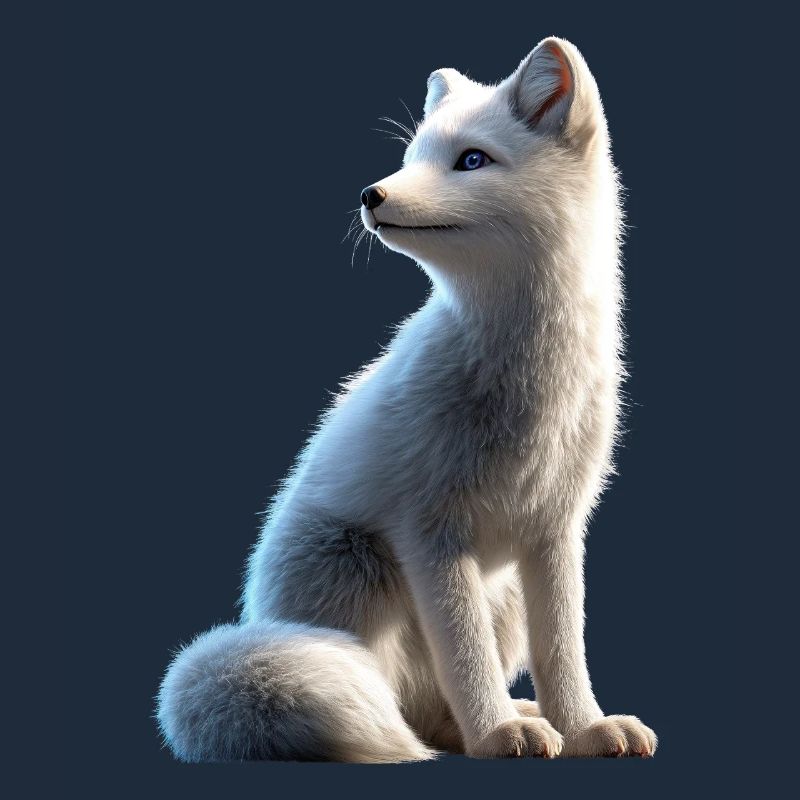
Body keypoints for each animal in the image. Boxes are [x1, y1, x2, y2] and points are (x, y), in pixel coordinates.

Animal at [157, 36, 657, 762]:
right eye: (412, 155)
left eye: (472, 159)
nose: (371, 193)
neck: (527, 379)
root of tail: (258, 616)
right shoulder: (429, 531)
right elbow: (467, 658)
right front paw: (497, 733)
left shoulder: (556, 529)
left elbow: (564, 650)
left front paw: (586, 727)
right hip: (358, 571)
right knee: (404, 703)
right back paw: (476, 729)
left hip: (501, 594)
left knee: (434, 706)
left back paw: (516, 718)